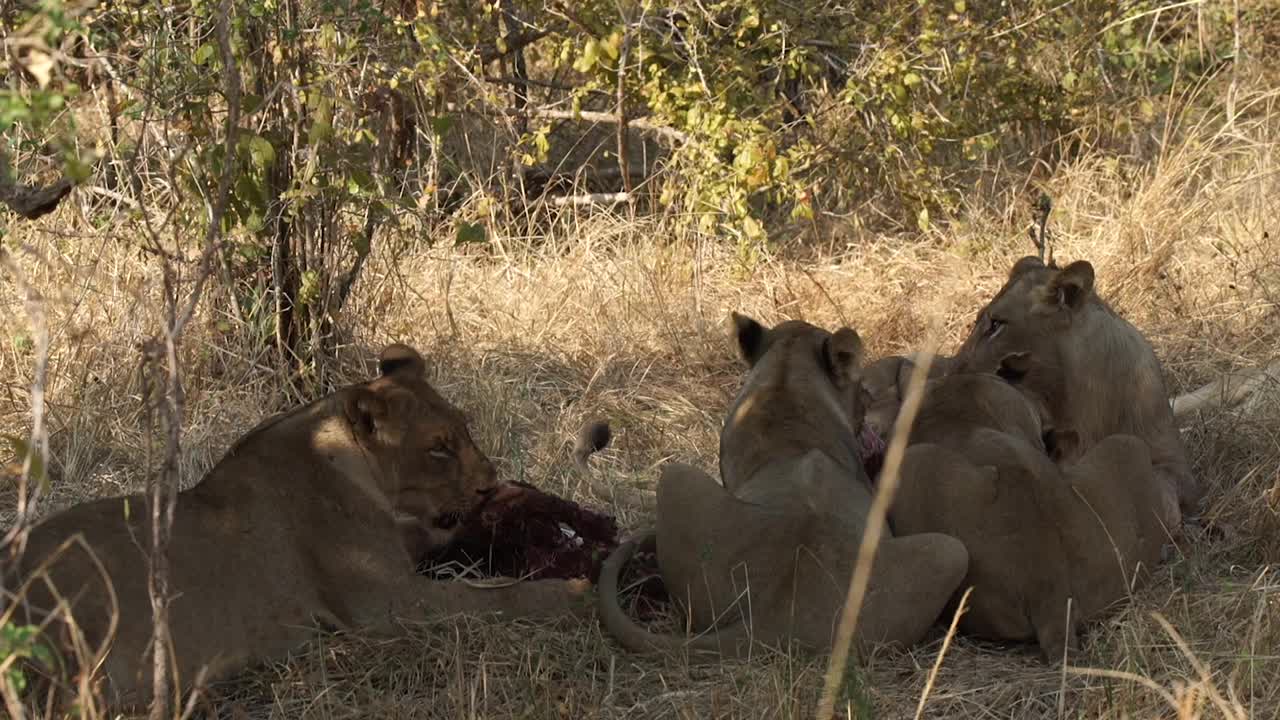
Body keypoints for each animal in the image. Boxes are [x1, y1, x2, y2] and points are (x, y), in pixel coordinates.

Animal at [2, 340, 591, 707]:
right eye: (438, 448)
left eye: (464, 431)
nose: (491, 482)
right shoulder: (389, 605)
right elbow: (499, 596)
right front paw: (575, 591)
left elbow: (433, 536)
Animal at [593, 312, 962, 655]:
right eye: (862, 391)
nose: (866, 410)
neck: (785, 375)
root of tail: (769, 612)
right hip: (950, 550)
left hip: (675, 476)